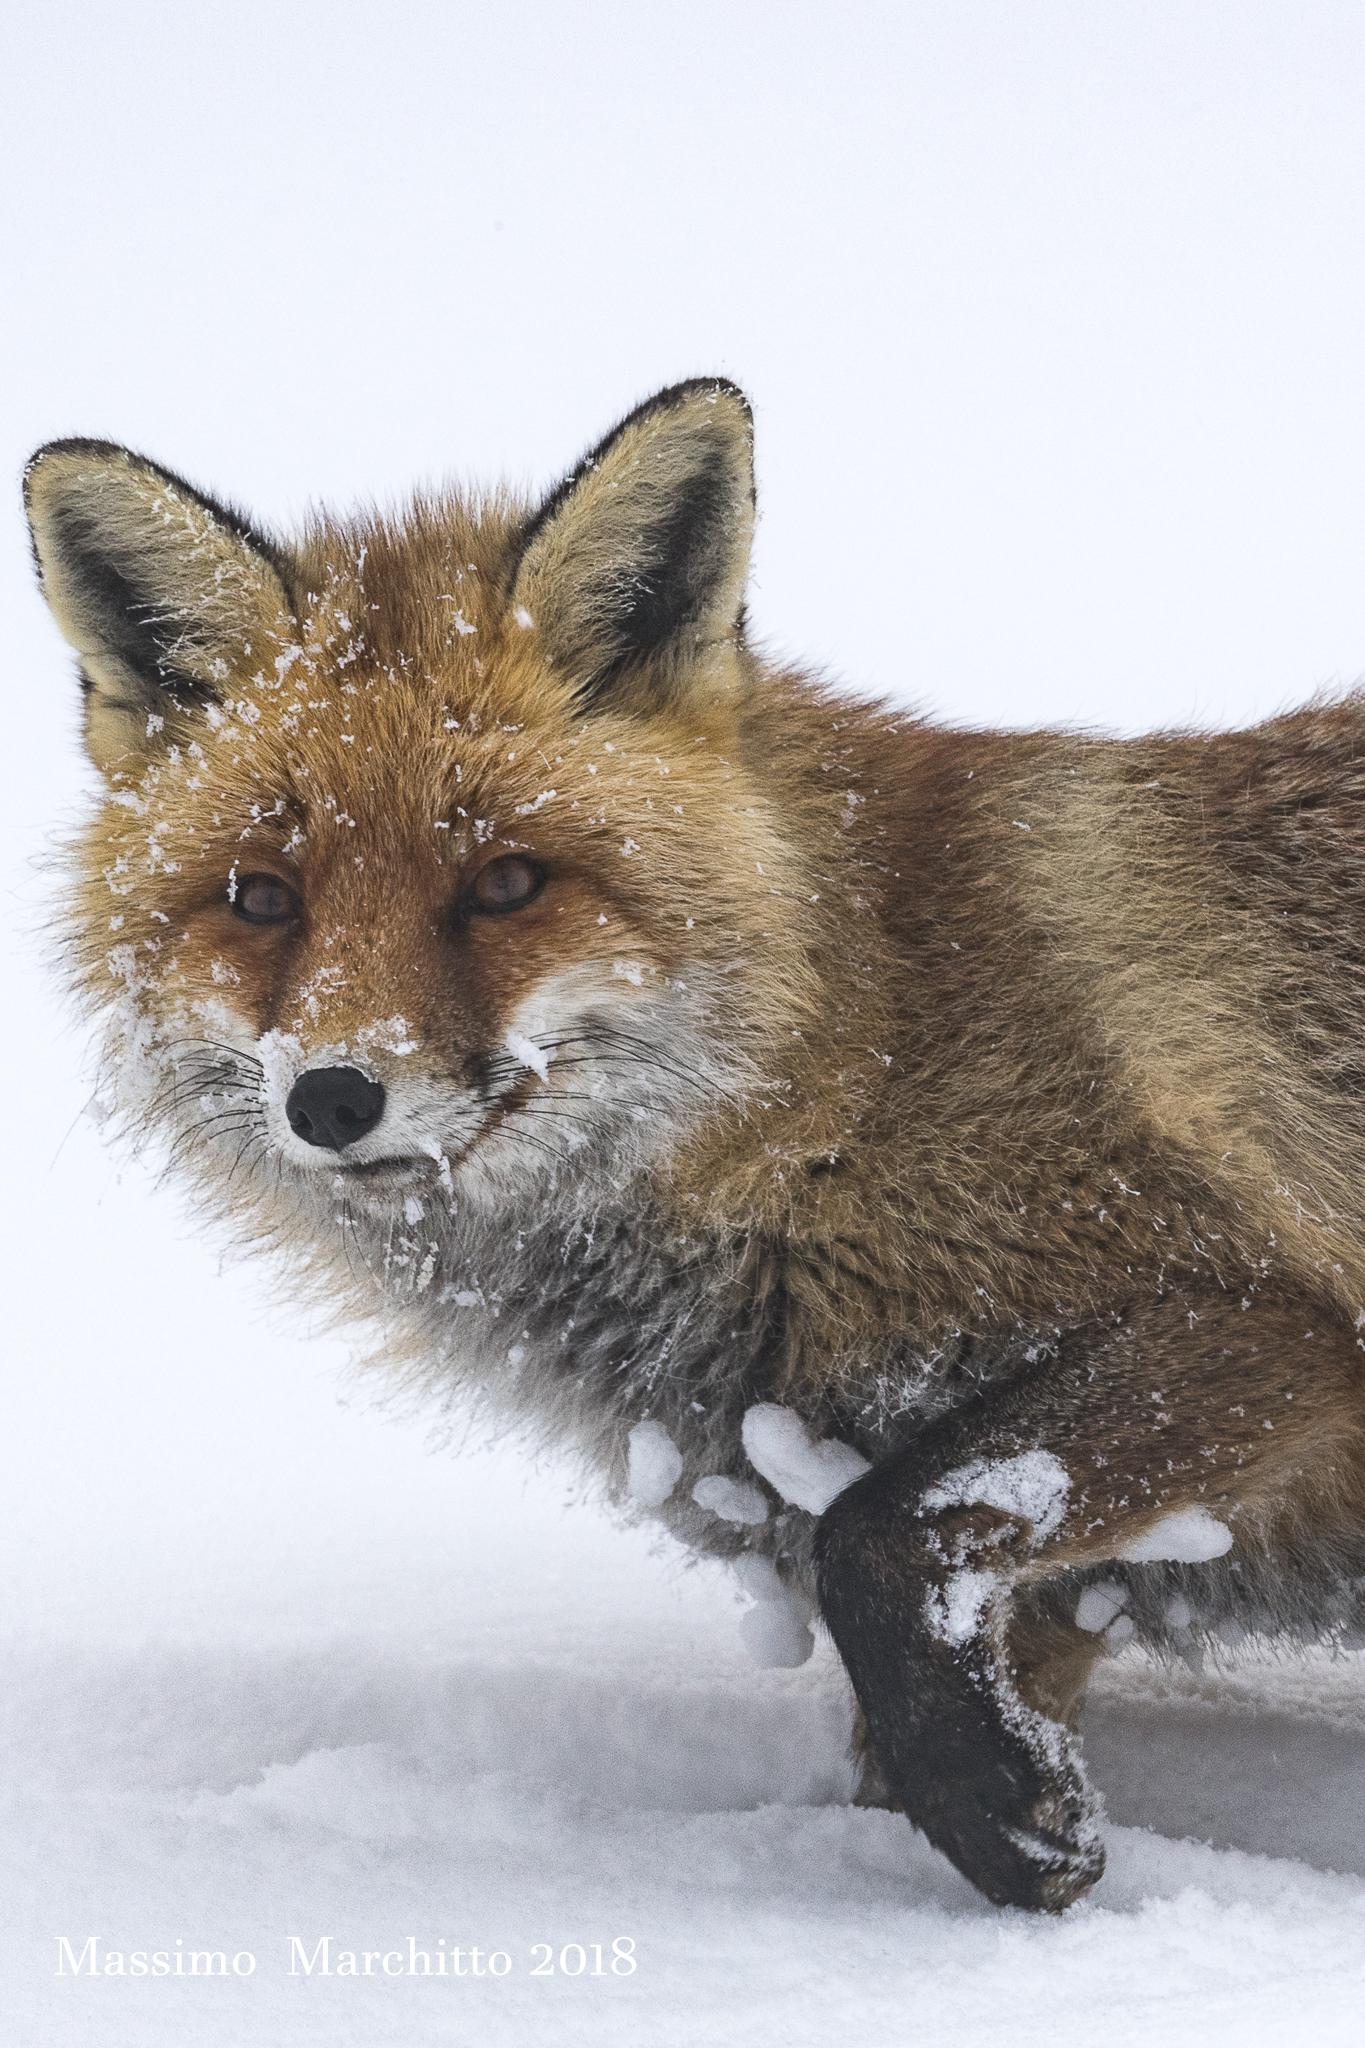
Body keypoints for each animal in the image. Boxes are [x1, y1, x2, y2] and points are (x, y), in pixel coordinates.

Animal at [23, 377, 1365, 1912]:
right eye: (261, 898)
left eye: (507, 881)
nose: (333, 1097)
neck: (838, 1082)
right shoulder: (1038, 1576)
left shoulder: (1261, 1316)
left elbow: (879, 1533)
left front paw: (1016, 1830)